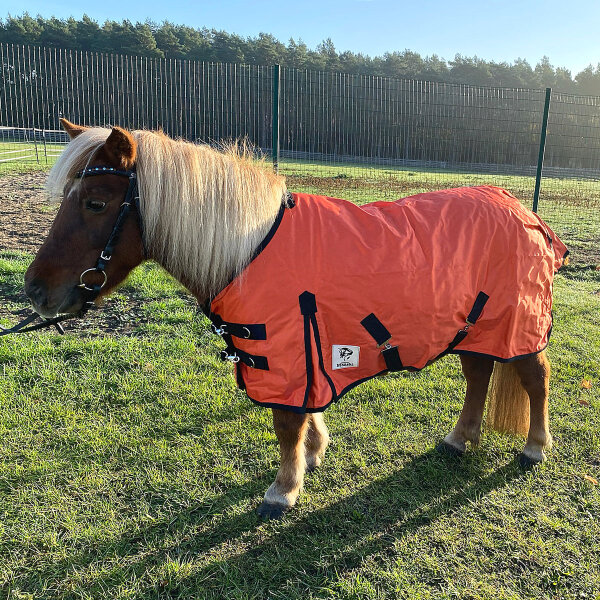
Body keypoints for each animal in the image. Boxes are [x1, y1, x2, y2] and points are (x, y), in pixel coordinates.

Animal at [24, 118, 564, 520]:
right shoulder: (300, 354)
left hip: (517, 323)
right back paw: (460, 438)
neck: (248, 250)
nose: (35, 290)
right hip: (476, 324)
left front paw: (283, 490)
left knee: (534, 378)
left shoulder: (286, 355)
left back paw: (535, 447)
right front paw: (314, 453)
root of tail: (525, 212)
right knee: (479, 371)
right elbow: (307, 412)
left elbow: (286, 423)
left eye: (95, 202)